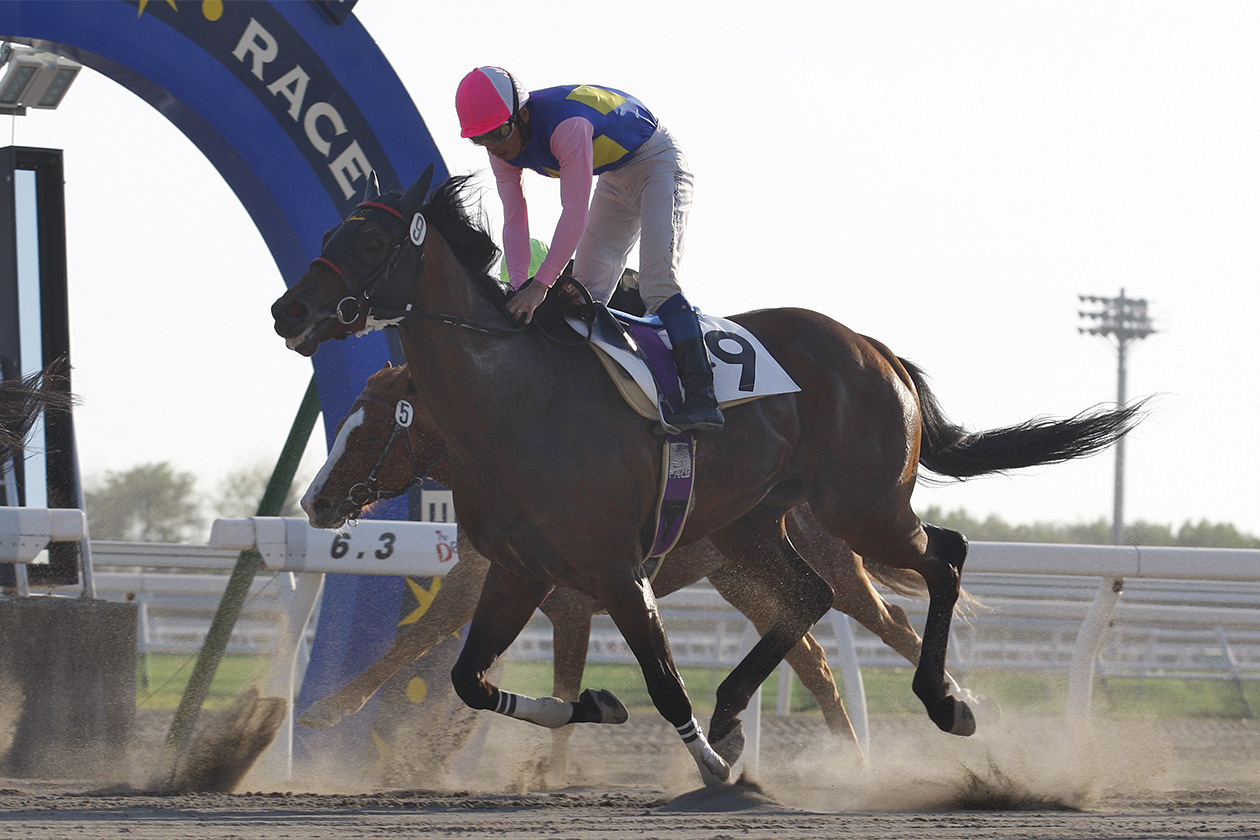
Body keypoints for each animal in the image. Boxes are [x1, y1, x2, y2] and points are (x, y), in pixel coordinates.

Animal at [297, 361, 986, 783]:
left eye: (370, 429)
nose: (314, 503)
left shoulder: (573, 601)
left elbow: (562, 675)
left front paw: (550, 772)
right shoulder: (483, 581)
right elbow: (416, 640)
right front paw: (328, 710)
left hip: (839, 554)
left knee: (892, 622)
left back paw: (958, 705)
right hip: (746, 578)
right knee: (814, 657)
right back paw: (849, 756)